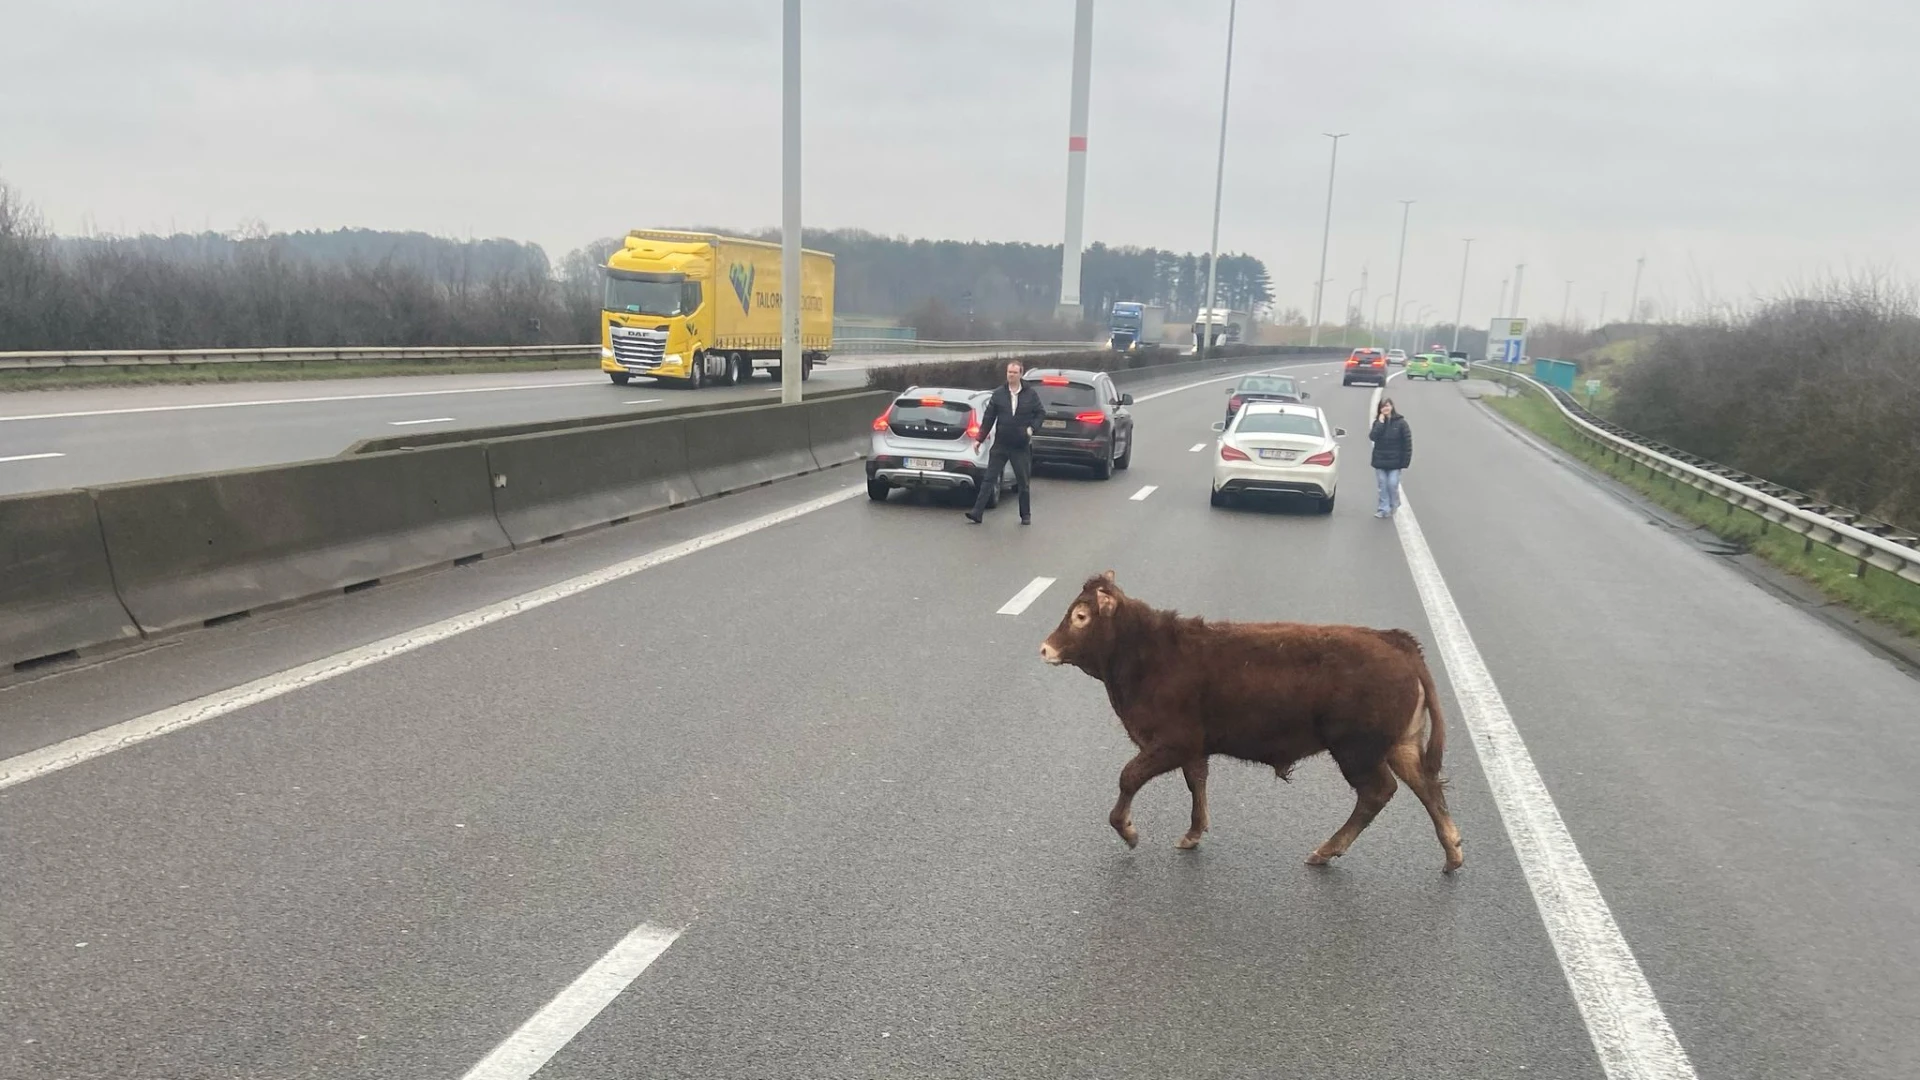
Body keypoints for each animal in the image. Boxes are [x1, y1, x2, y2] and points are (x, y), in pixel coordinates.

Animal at [1044, 568, 1459, 868]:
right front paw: (1193, 833)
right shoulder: (1193, 748)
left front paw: (1129, 831)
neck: (1149, 651)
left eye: (1081, 616)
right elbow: (1197, 783)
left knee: (1378, 792)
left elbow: (1129, 776)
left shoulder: (1170, 743)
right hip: (1400, 745)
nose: (1045, 648)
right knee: (1427, 786)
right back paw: (1453, 853)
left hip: (1358, 752)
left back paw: (1326, 851)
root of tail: (1397, 642)